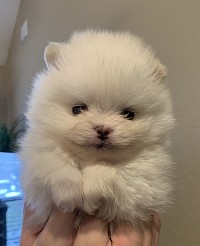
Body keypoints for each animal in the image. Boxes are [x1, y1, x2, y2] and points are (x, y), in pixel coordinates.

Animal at [19, 29, 174, 228]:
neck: (89, 160)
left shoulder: (146, 182)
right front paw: (68, 194)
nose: (103, 130)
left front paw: (92, 191)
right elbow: (54, 161)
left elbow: (113, 171)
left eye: (129, 114)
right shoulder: (36, 172)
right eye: (77, 109)